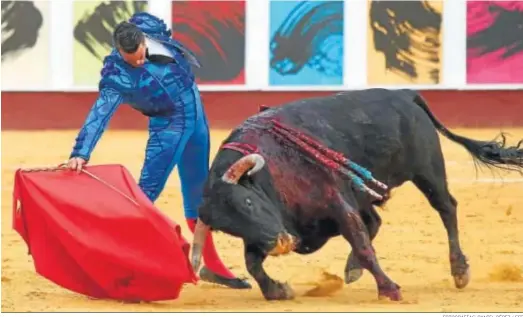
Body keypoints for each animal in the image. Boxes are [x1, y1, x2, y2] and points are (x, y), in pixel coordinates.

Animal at [190, 88, 520, 298]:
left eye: (247, 202)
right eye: (230, 228)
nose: (280, 243)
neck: (271, 168)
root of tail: (404, 93)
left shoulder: (336, 203)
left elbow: (361, 243)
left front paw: (389, 289)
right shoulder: (272, 227)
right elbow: (252, 263)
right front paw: (278, 290)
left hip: (428, 172)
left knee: (446, 208)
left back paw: (459, 269)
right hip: (367, 193)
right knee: (375, 221)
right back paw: (352, 270)